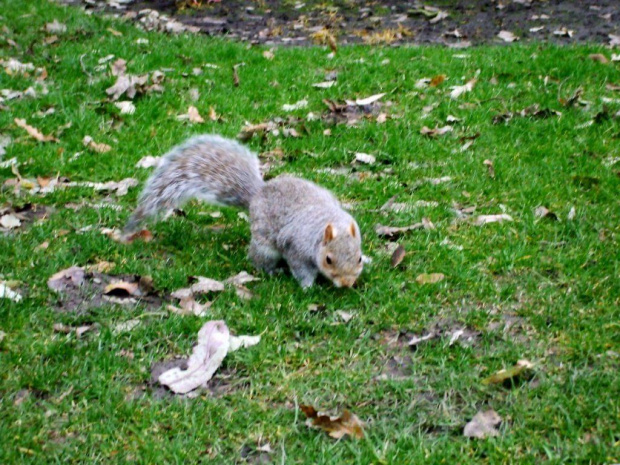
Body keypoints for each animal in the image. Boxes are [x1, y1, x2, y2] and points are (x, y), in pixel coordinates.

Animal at [125, 132, 364, 288]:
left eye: (359, 258)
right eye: (328, 260)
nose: (347, 283)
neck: (329, 223)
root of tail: (258, 193)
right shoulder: (296, 248)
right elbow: (301, 269)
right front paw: (308, 287)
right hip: (264, 243)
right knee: (258, 258)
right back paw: (272, 270)